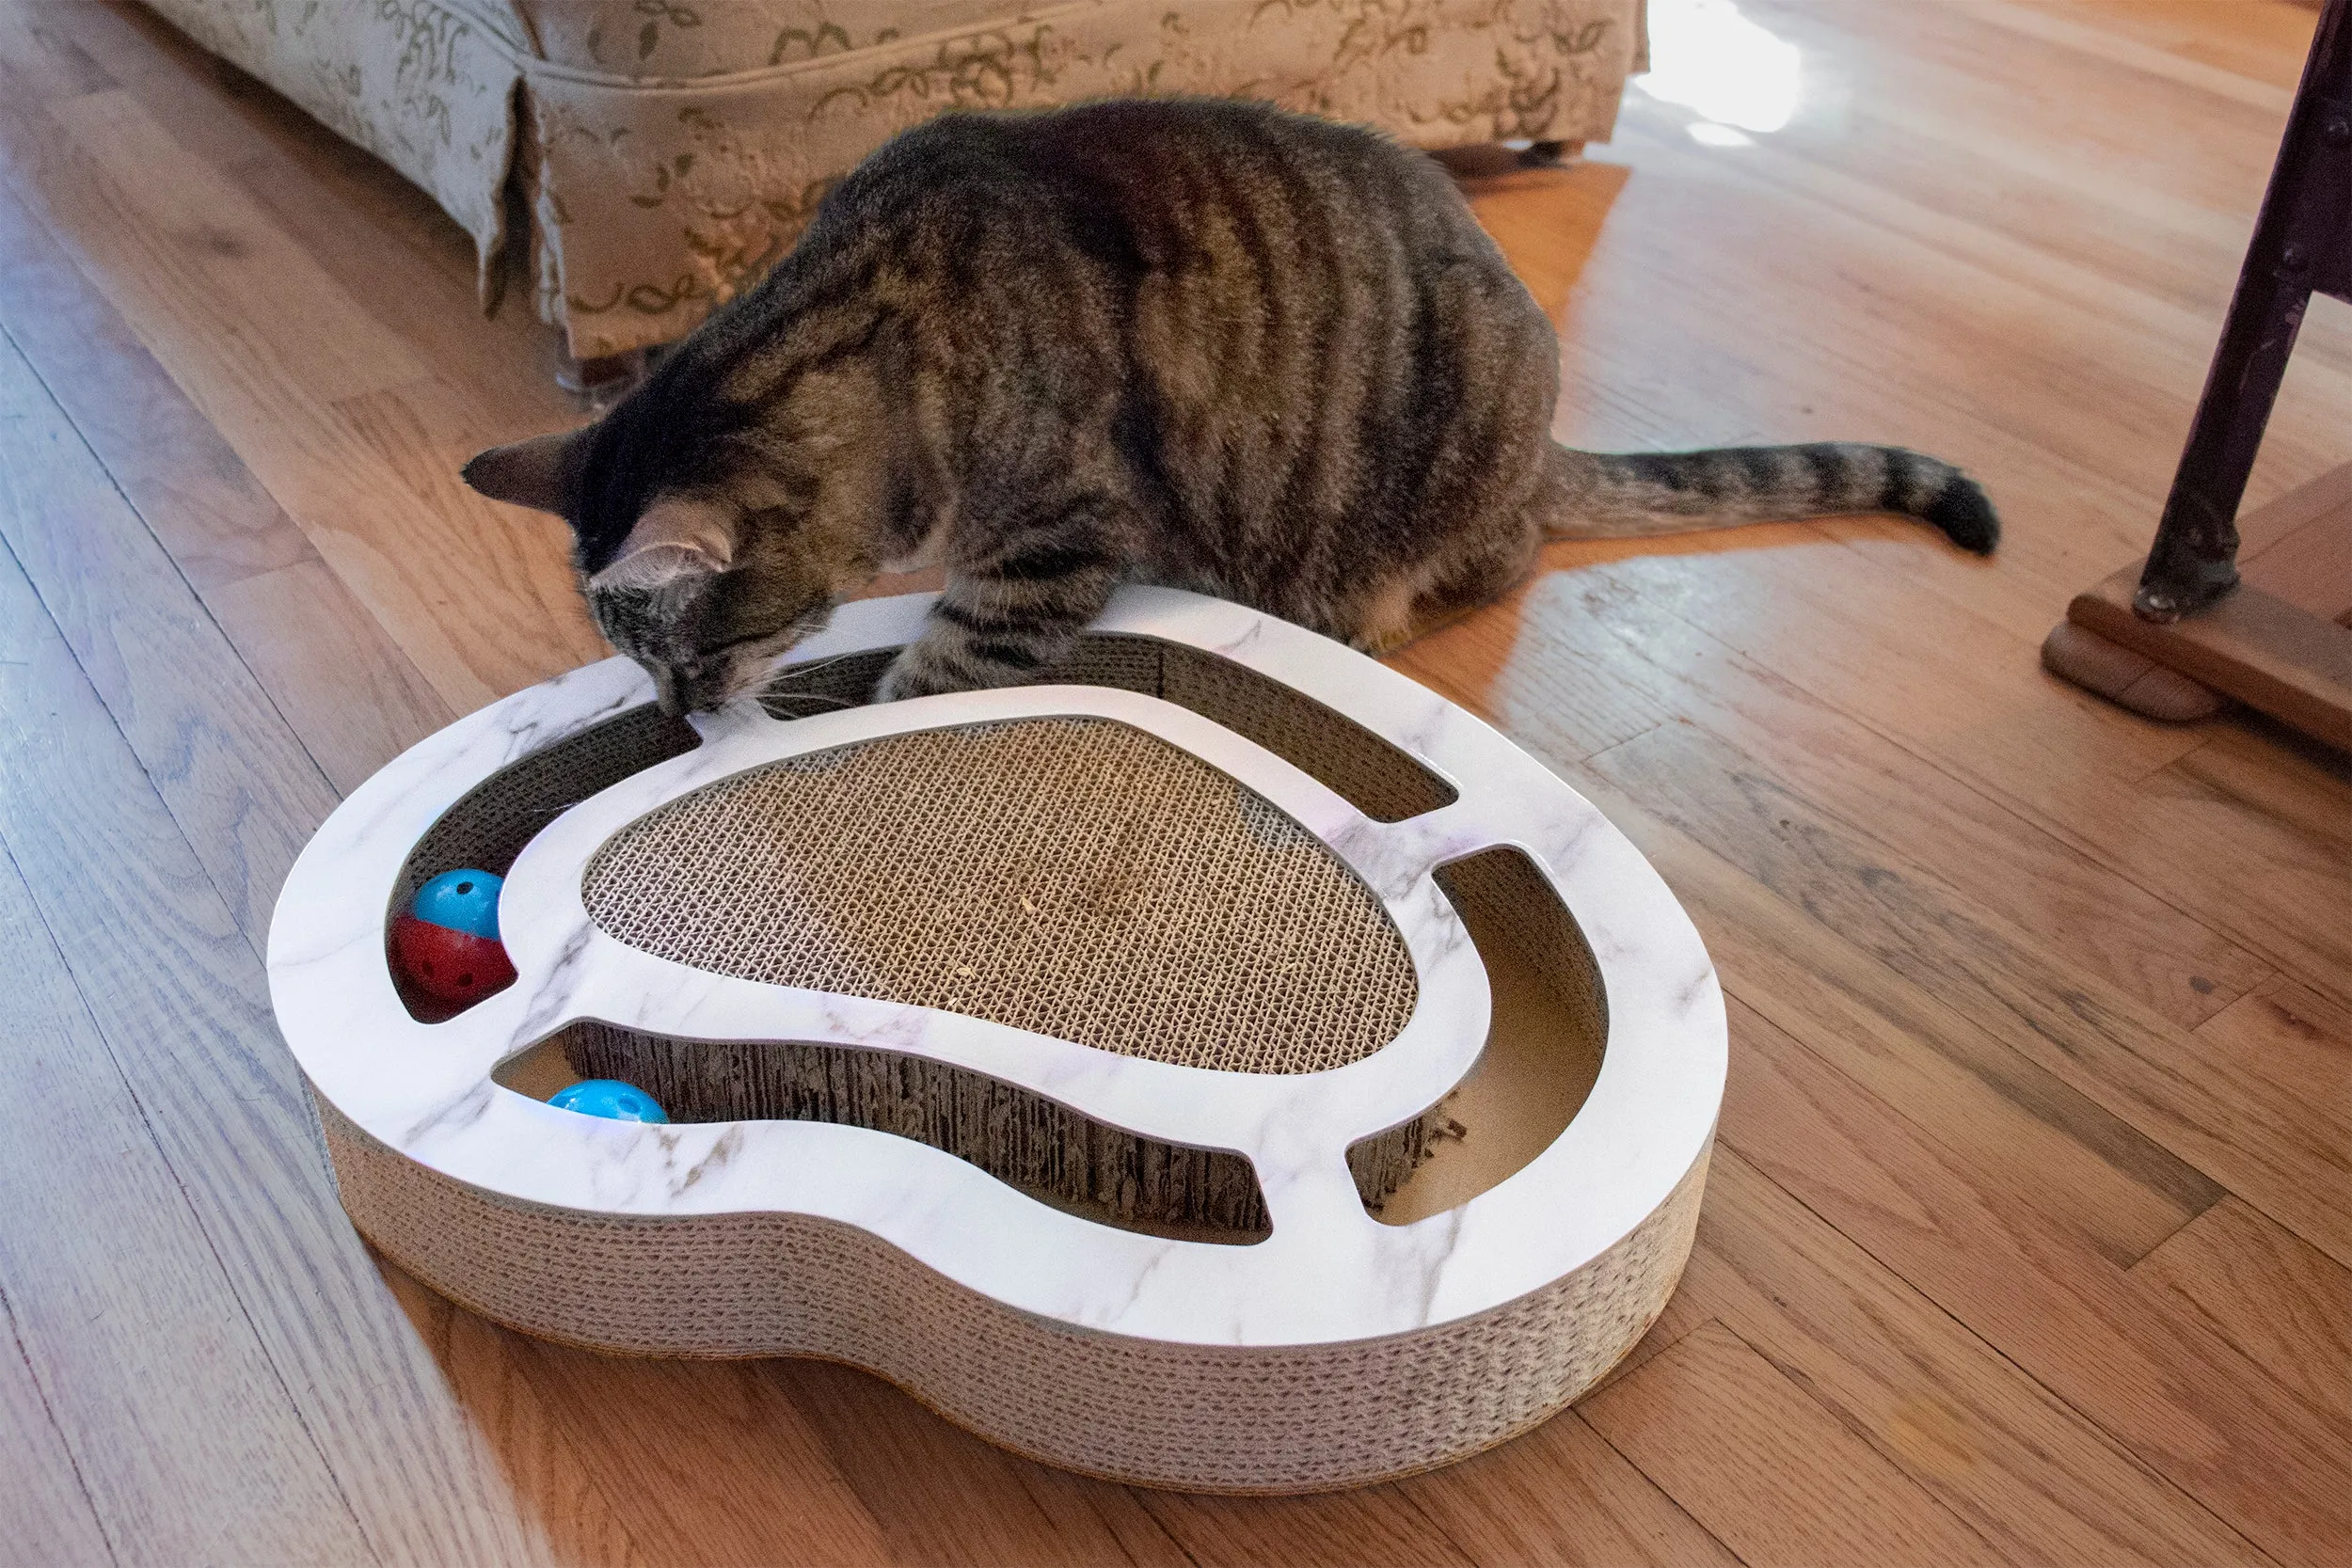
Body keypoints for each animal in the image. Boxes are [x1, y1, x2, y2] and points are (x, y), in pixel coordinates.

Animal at [468, 98, 1994, 709]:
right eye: (631, 667)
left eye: (679, 656)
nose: (676, 720)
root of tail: (1545, 447)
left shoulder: (1050, 540)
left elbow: (947, 663)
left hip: (1436, 485)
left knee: (1490, 564)